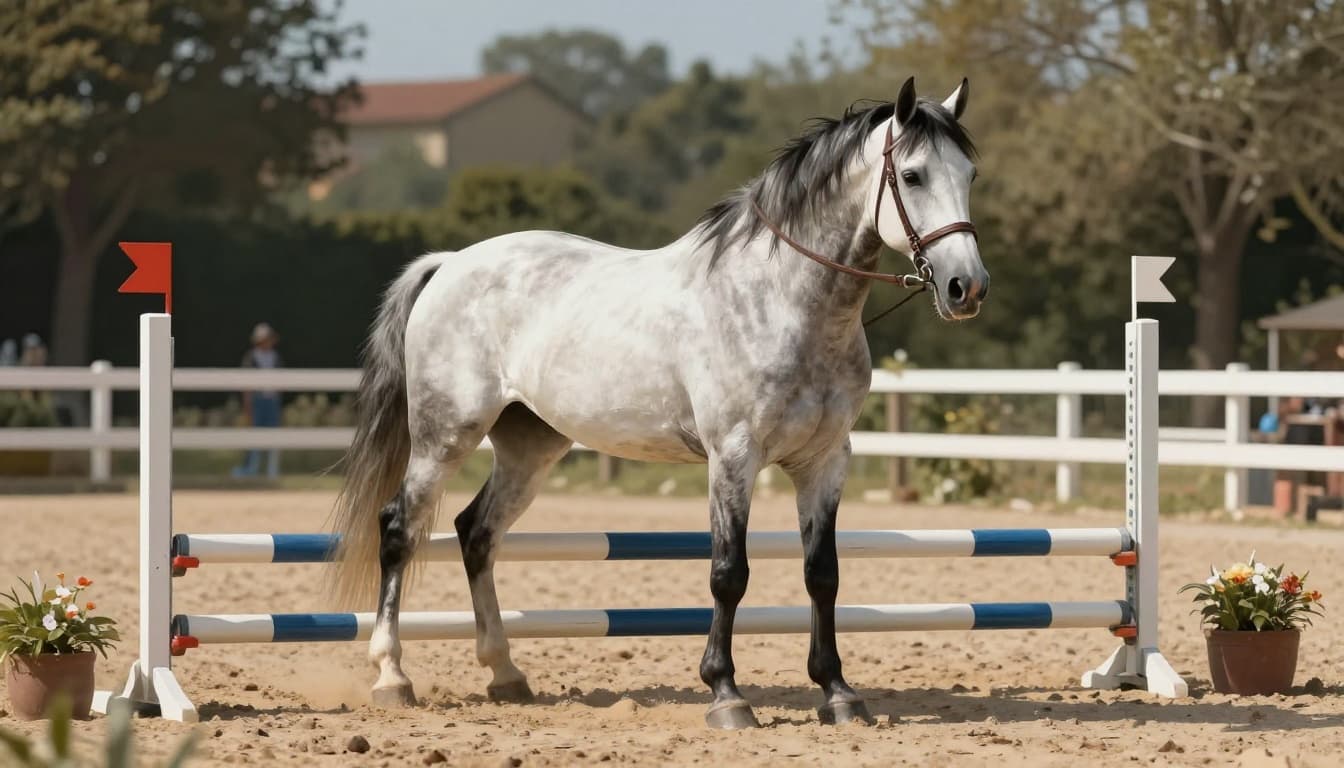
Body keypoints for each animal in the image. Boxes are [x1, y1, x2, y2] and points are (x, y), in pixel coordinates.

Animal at [330, 76, 988, 729]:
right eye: (912, 176)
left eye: (970, 175)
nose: (967, 288)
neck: (782, 301)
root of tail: (450, 265)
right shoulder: (734, 456)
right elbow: (729, 574)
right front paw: (726, 693)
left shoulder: (825, 461)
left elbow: (822, 574)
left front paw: (838, 692)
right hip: (445, 435)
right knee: (399, 528)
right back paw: (392, 676)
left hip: (530, 446)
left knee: (477, 533)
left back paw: (506, 673)